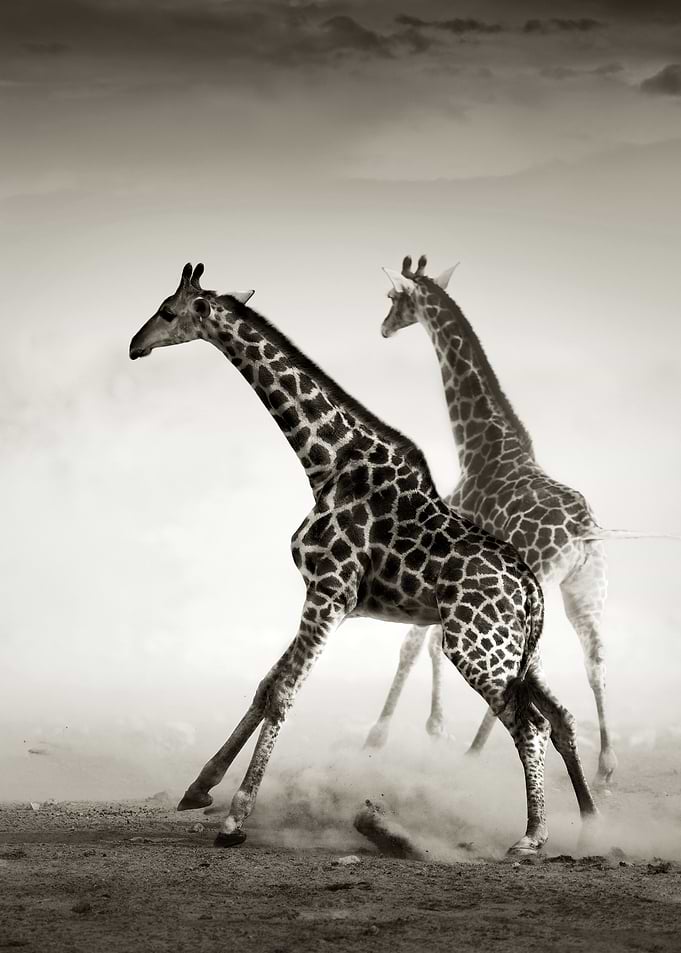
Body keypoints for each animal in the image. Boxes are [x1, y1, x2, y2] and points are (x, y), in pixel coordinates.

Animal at [129, 262, 597, 854]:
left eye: (168, 311)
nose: (135, 346)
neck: (326, 461)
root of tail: (531, 589)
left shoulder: (329, 591)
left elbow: (282, 694)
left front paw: (234, 820)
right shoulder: (325, 597)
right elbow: (264, 687)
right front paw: (198, 789)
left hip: (475, 647)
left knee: (529, 724)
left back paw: (532, 836)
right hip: (519, 651)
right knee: (561, 717)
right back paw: (593, 825)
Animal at [367, 253, 626, 786]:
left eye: (393, 298)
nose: (383, 328)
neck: (478, 447)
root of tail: (584, 531)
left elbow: (413, 645)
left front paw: (380, 736)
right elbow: (429, 644)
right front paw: (433, 727)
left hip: (542, 585)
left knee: (527, 665)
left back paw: (476, 752)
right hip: (586, 589)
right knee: (596, 659)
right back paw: (606, 766)